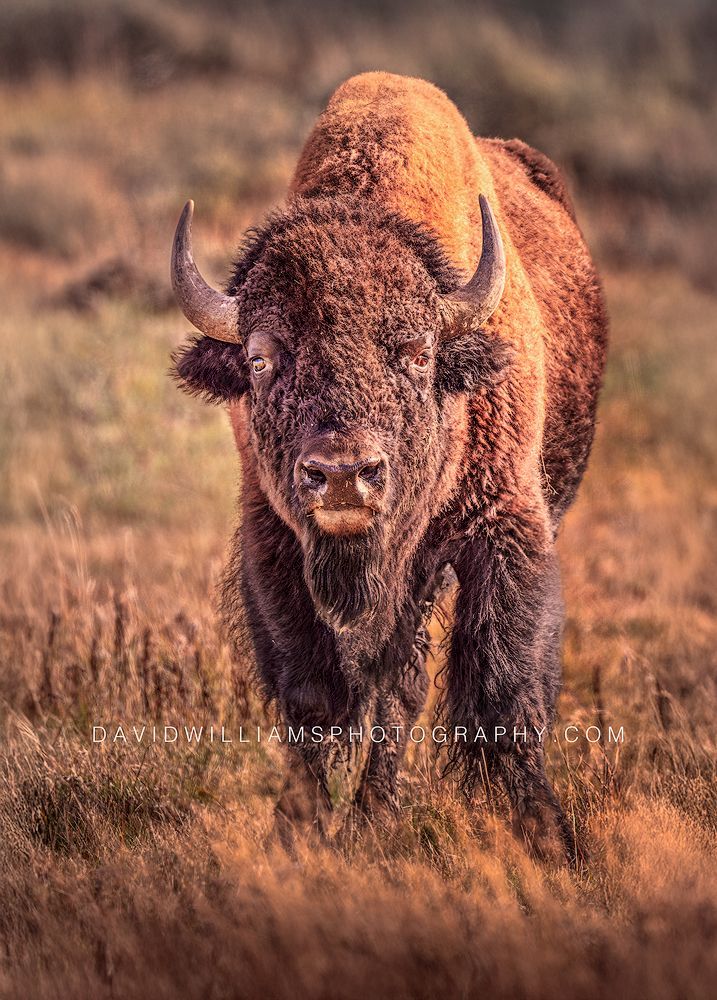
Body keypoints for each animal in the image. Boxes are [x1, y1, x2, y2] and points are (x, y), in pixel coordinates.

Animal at [170, 72, 607, 860]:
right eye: (261, 356)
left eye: (416, 353)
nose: (343, 475)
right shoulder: (274, 543)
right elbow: (313, 693)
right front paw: (297, 832)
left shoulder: (503, 529)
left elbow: (502, 689)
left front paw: (551, 840)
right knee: (391, 683)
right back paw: (371, 814)